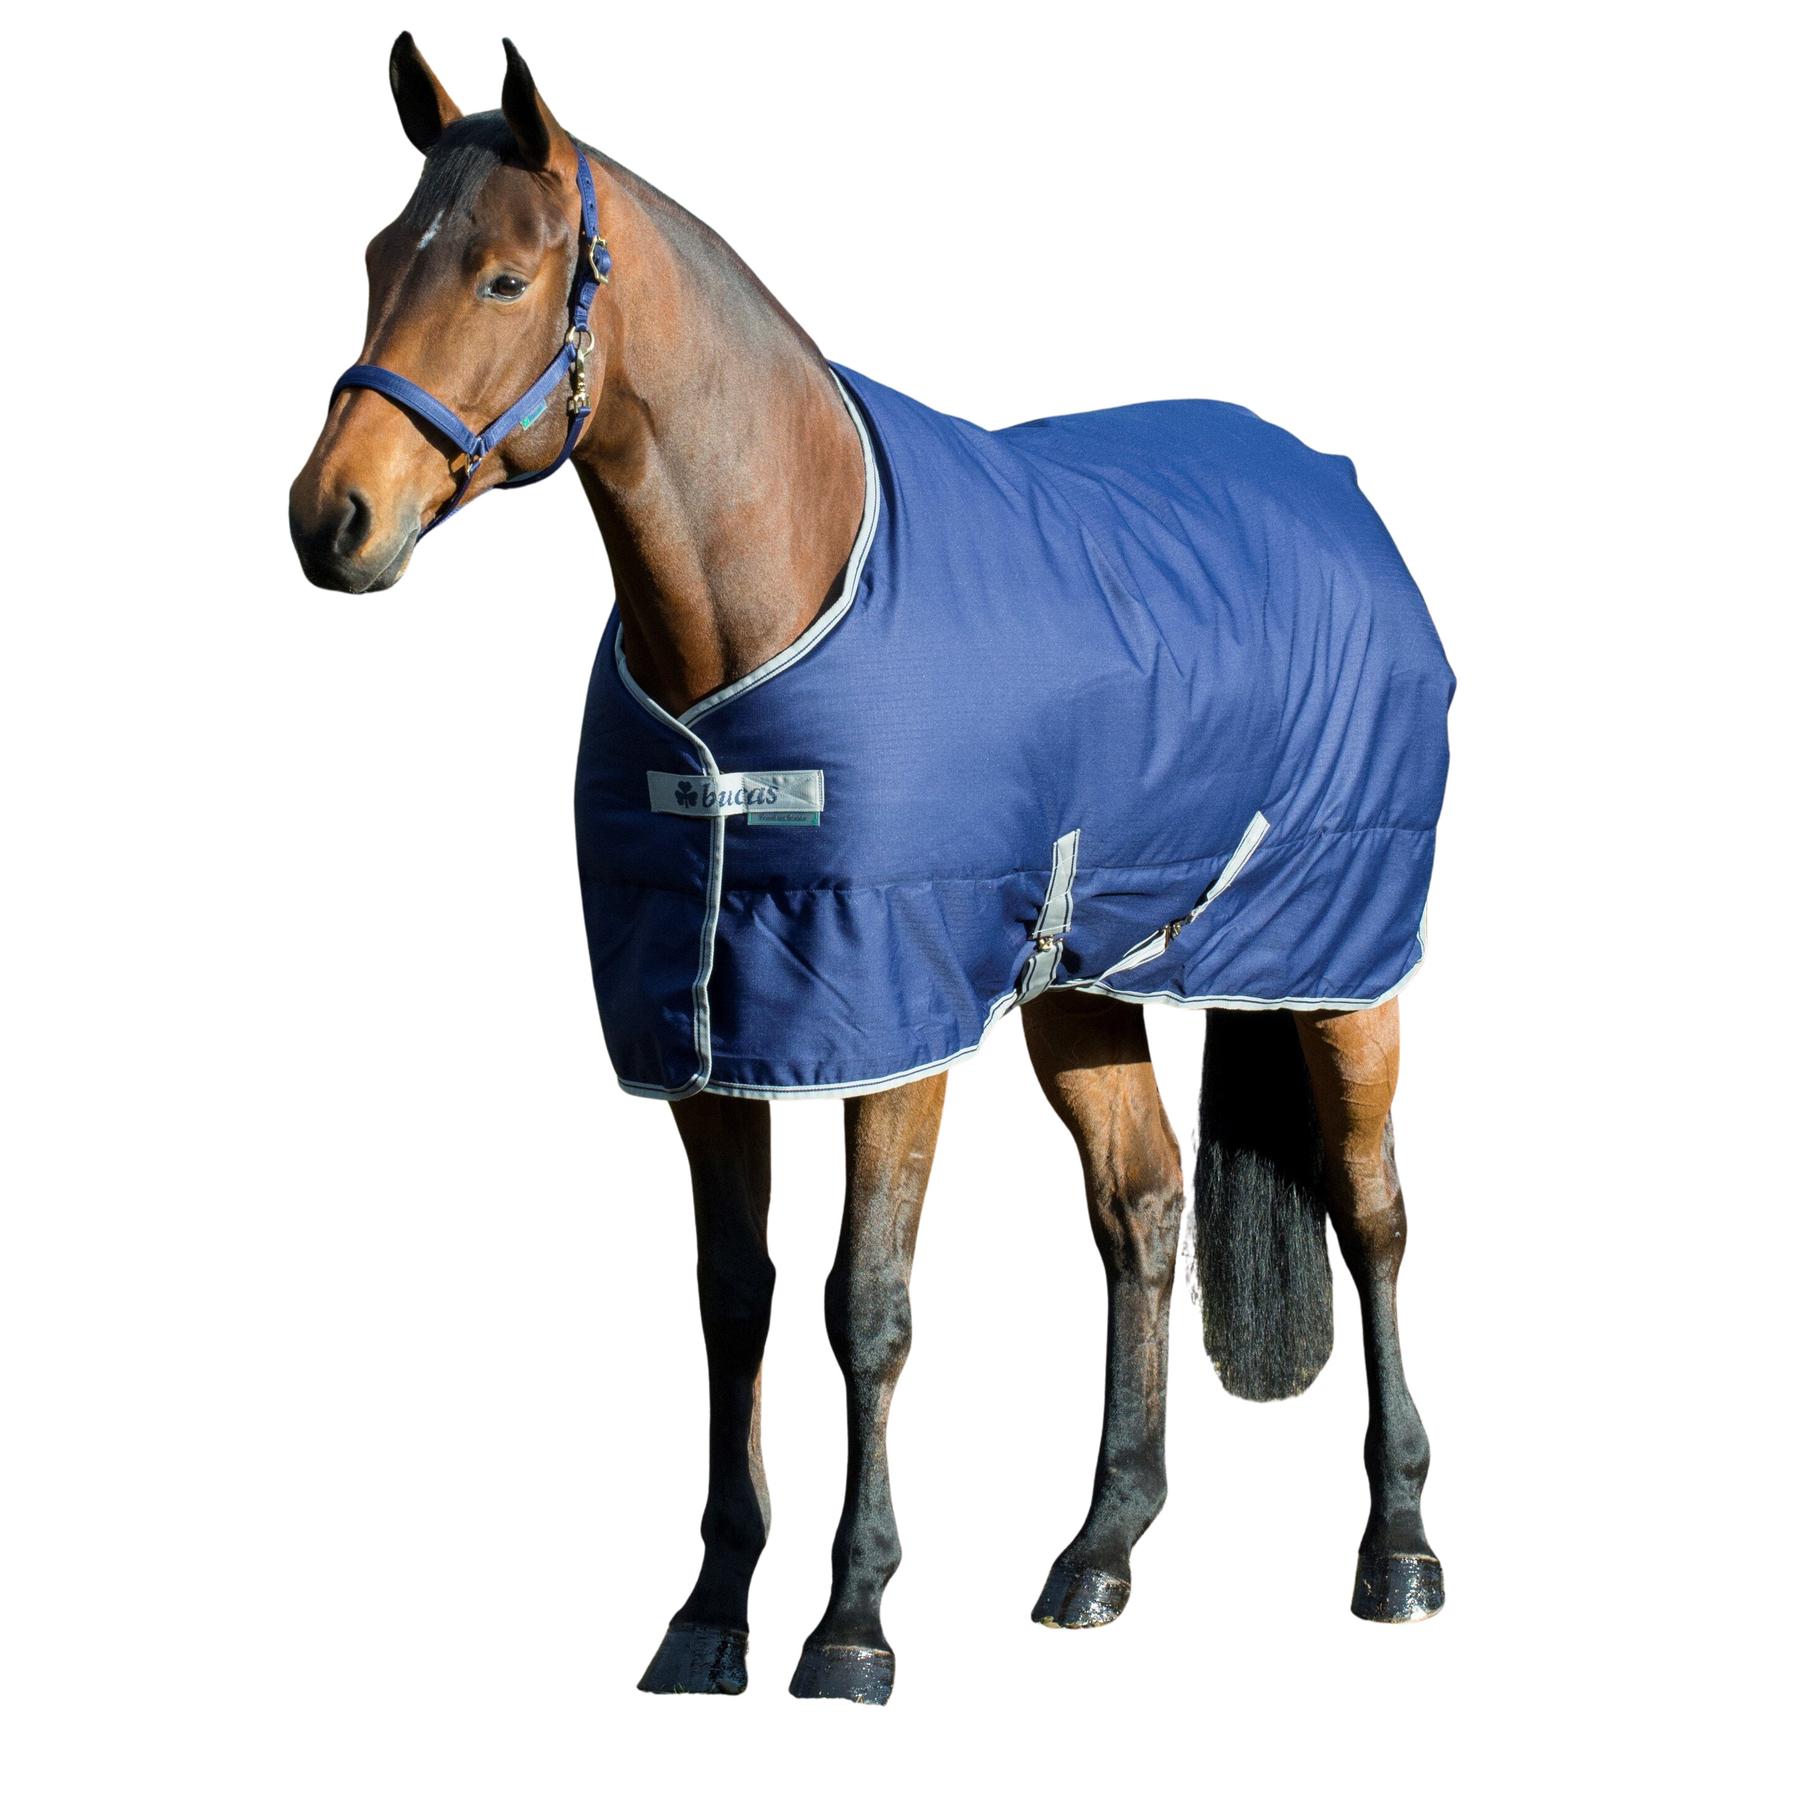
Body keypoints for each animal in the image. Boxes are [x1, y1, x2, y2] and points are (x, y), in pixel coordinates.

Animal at [289, 35, 1449, 1705]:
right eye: (383, 260)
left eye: (504, 278)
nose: (335, 518)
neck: (766, 602)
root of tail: (1339, 490)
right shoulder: (711, 1033)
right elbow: (735, 1301)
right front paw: (710, 1614)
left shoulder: (888, 1022)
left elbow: (868, 1306)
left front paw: (851, 1623)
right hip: (1079, 986)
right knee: (1143, 1207)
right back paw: (1100, 1551)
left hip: (1342, 969)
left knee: (1374, 1215)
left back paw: (1398, 1546)